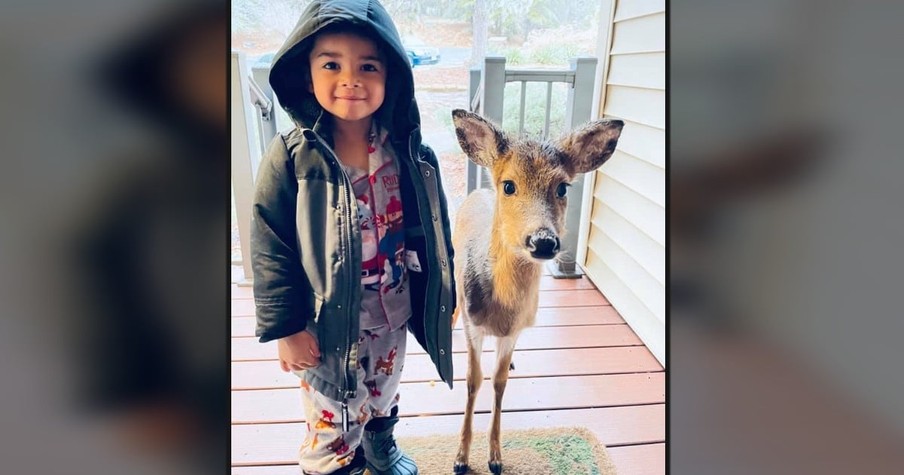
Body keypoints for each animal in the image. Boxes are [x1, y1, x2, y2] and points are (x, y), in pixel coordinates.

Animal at [450, 109, 620, 474]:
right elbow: (473, 380)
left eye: (563, 187)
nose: (542, 241)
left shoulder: (515, 330)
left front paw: (495, 457)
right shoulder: (474, 323)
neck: (501, 311)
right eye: (509, 185)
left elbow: (499, 381)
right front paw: (460, 458)